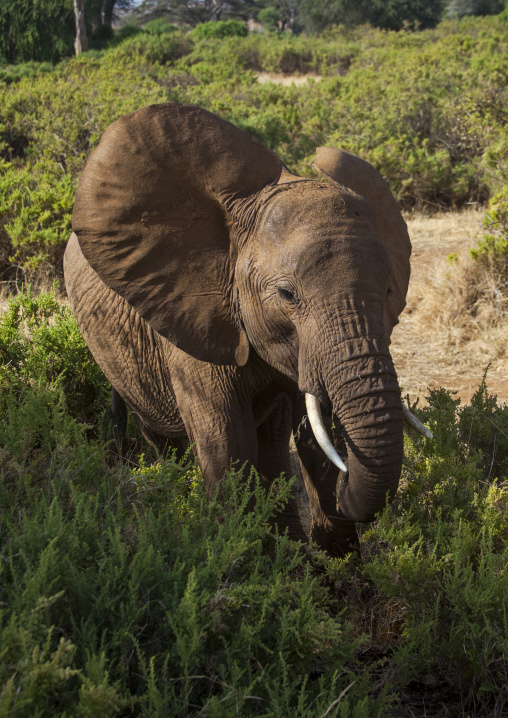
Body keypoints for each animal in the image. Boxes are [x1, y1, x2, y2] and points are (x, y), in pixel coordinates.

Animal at [64, 102, 430, 557]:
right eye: (287, 294)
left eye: (388, 290)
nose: (349, 473)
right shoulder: (195, 321)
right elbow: (228, 444)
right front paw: (250, 560)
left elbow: (300, 436)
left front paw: (330, 566)